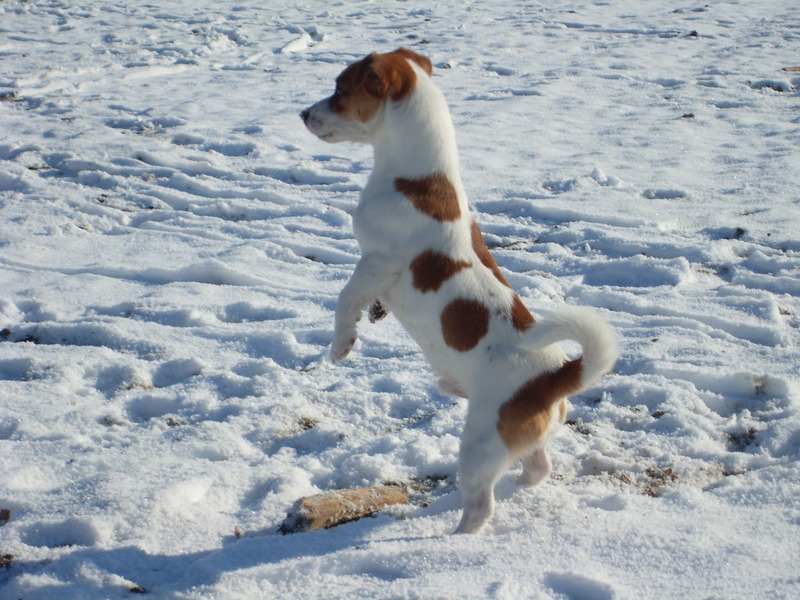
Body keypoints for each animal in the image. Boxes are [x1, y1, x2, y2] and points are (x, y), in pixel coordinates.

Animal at [300, 48, 620, 536]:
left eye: (340, 89)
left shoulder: (376, 261)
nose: (302, 114)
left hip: (477, 447)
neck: (417, 178)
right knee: (537, 467)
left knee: (482, 504)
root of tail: (555, 377)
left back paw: (452, 537)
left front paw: (342, 344)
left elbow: (345, 299)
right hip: (517, 444)